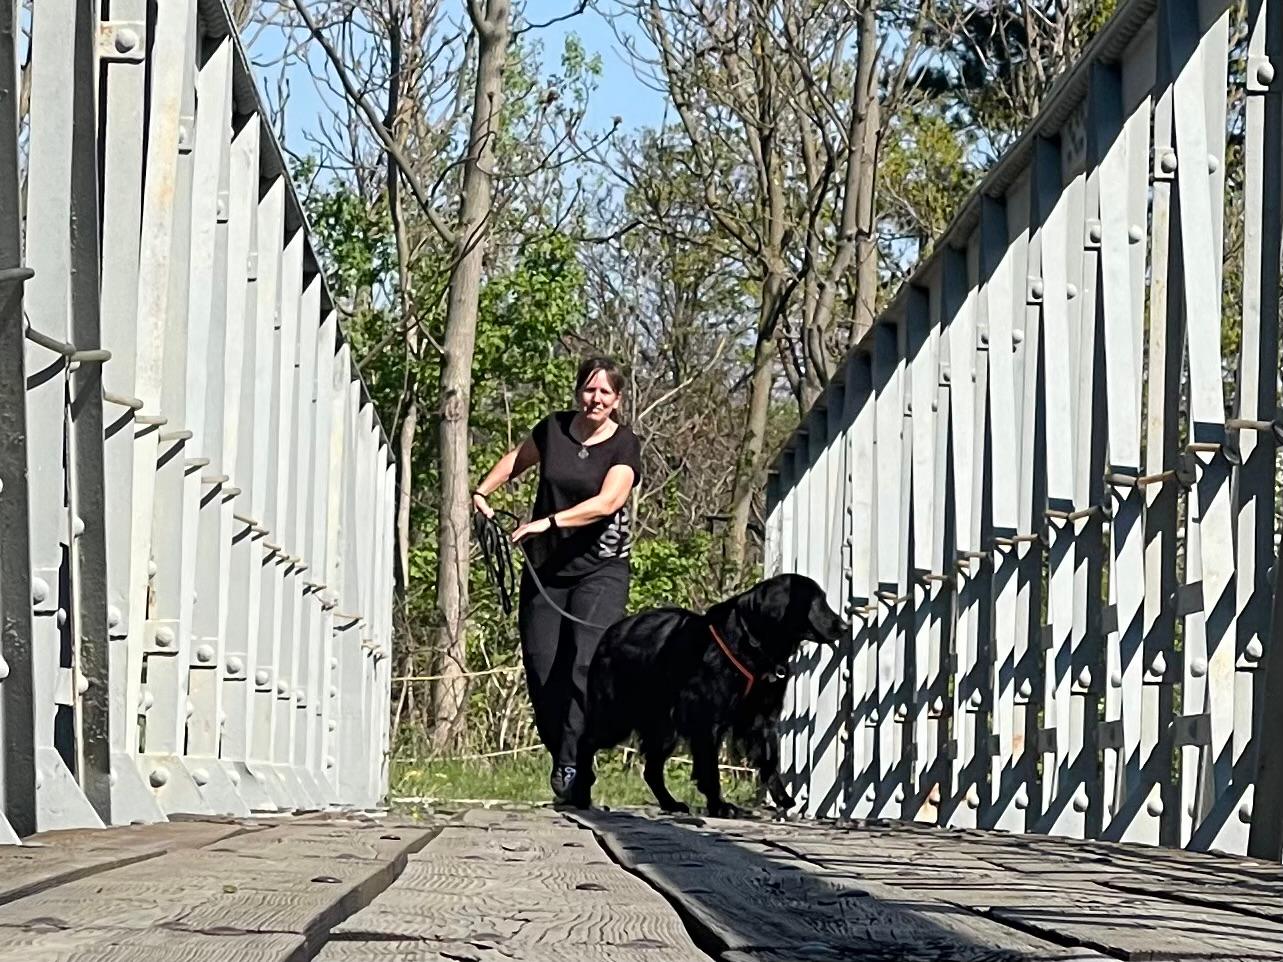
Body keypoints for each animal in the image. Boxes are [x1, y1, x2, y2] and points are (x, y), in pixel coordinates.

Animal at [572, 573, 848, 817]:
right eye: (816, 601)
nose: (845, 626)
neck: (751, 644)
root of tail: (610, 632)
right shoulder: (707, 720)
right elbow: (710, 769)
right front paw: (720, 806)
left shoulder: (761, 717)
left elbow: (770, 758)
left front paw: (782, 797)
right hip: (616, 716)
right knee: (585, 742)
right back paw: (580, 795)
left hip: (663, 728)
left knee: (651, 769)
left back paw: (671, 804)